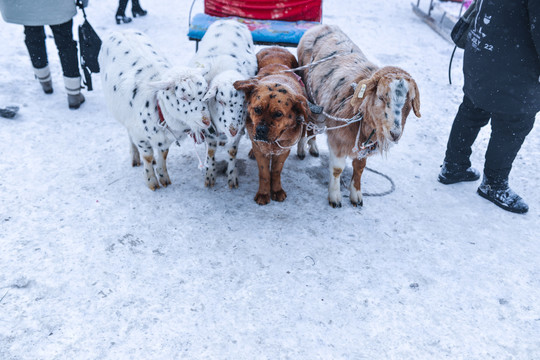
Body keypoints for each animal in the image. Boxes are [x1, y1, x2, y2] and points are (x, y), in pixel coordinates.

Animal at [100, 30, 210, 191]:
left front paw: (164, 177)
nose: (206, 121)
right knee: (129, 135)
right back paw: (135, 156)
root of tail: (118, 30)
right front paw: (151, 181)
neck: (159, 110)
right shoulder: (140, 136)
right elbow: (148, 156)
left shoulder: (165, 140)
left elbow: (163, 155)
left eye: (205, 92)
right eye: (183, 97)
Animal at [189, 19, 258, 188]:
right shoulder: (208, 127)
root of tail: (230, 20)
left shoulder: (239, 129)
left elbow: (232, 152)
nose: (232, 130)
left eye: (245, 101)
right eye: (220, 100)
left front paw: (232, 177)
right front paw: (209, 176)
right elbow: (211, 152)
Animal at [233, 47, 308, 205]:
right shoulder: (260, 150)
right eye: (257, 109)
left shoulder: (283, 150)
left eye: (278, 114)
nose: (261, 130)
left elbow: (276, 171)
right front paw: (263, 193)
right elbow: (264, 173)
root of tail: (275, 47)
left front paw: (277, 190)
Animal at [298, 23, 420, 207]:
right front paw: (335, 197)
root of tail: (323, 26)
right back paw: (305, 148)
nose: (395, 133)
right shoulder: (338, 139)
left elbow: (360, 168)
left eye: (409, 102)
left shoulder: (364, 146)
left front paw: (356, 195)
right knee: (309, 125)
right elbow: (337, 169)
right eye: (381, 96)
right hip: (312, 101)